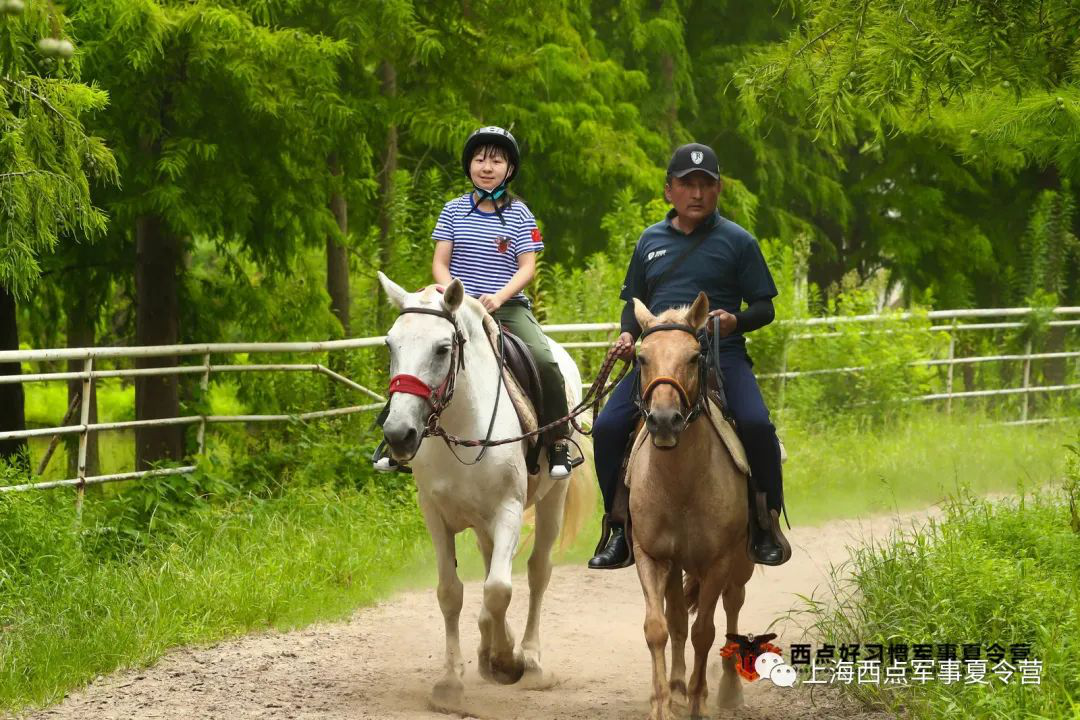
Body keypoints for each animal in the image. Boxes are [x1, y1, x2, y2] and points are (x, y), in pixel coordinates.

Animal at [375, 274, 596, 708]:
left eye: (442, 349)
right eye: (391, 345)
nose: (399, 434)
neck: (463, 430)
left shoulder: (508, 510)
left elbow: (498, 589)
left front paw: (505, 661)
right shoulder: (435, 515)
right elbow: (451, 593)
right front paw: (451, 681)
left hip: (551, 502)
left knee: (536, 572)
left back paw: (529, 659)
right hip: (481, 524)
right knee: (495, 562)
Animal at [630, 293, 756, 720]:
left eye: (693, 356)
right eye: (641, 357)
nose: (664, 421)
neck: (680, 485)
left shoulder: (718, 561)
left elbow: (705, 631)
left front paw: (700, 701)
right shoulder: (651, 555)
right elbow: (659, 627)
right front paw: (663, 702)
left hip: (741, 563)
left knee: (733, 607)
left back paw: (730, 689)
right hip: (676, 565)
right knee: (677, 619)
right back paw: (678, 686)